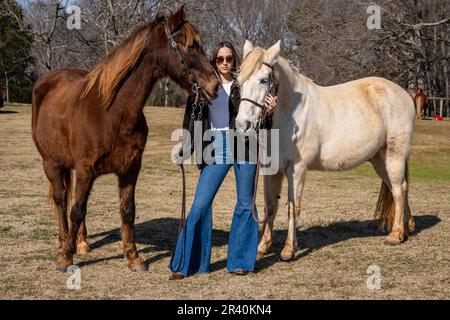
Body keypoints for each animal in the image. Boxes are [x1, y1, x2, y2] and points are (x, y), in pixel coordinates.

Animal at [31, 6, 220, 272]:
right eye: (191, 46)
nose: (214, 86)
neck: (111, 112)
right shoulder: (86, 169)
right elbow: (77, 210)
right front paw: (66, 258)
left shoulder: (130, 168)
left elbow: (127, 210)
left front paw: (133, 257)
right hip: (51, 163)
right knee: (61, 200)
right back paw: (63, 243)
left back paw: (81, 242)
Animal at [237, 40, 416, 262]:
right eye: (239, 81)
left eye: (263, 80)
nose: (242, 124)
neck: (290, 113)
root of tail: (404, 94)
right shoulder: (271, 169)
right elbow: (270, 206)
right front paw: (262, 247)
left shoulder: (297, 169)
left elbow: (292, 207)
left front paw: (289, 250)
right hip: (379, 159)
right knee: (397, 187)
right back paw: (407, 227)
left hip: (394, 156)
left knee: (399, 189)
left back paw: (396, 235)